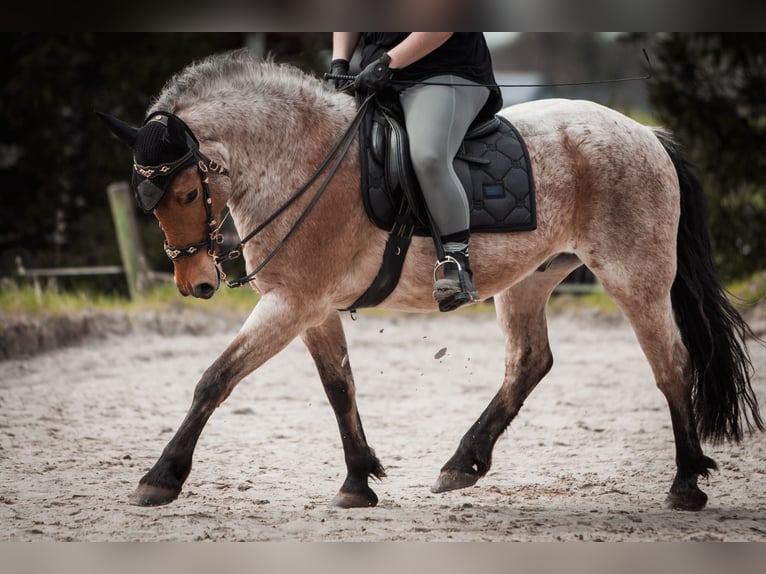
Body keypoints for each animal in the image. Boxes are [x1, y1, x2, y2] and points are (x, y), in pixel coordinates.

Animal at [100, 49, 763, 512]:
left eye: (188, 193)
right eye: (146, 199)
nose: (196, 285)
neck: (298, 157)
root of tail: (645, 133)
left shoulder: (292, 302)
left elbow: (214, 379)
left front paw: (160, 479)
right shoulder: (311, 307)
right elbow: (339, 387)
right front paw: (357, 482)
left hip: (635, 275)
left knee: (671, 364)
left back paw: (685, 484)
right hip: (529, 279)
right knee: (530, 362)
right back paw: (462, 463)